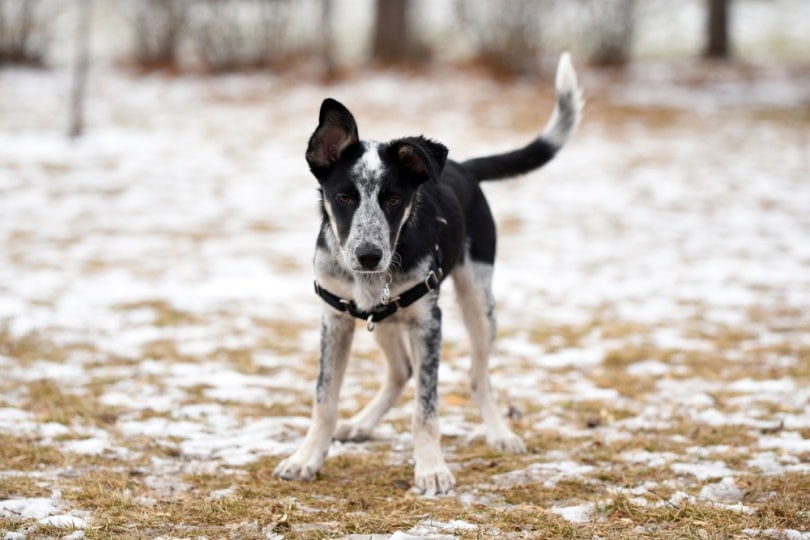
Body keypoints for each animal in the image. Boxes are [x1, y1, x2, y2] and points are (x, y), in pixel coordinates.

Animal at [274, 53, 580, 494]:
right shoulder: (336, 318)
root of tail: (463, 169)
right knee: (401, 370)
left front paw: (431, 468)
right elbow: (324, 399)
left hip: (478, 302)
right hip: (381, 317)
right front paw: (306, 459)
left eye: (394, 199)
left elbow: (426, 407)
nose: (369, 256)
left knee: (477, 376)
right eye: (344, 197)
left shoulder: (427, 323)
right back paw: (362, 424)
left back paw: (500, 433)